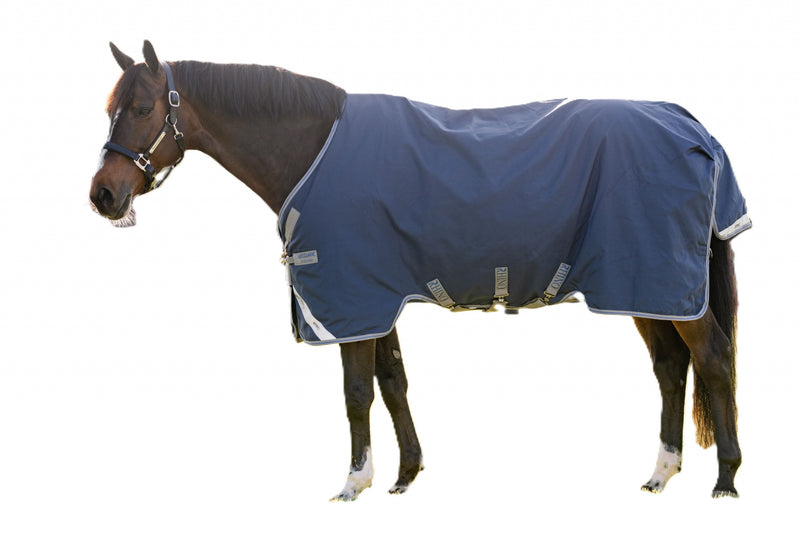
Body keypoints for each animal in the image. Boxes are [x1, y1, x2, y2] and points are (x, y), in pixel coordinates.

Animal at [89, 41, 749, 500]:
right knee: (671, 367)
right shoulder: (380, 297)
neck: (313, 149)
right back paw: (662, 472)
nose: (103, 196)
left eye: (143, 108)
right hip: (645, 288)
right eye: (109, 108)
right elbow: (393, 382)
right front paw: (406, 475)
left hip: (662, 282)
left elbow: (356, 392)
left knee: (713, 357)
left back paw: (725, 479)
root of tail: (689, 123)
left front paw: (353, 483)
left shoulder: (352, 299)